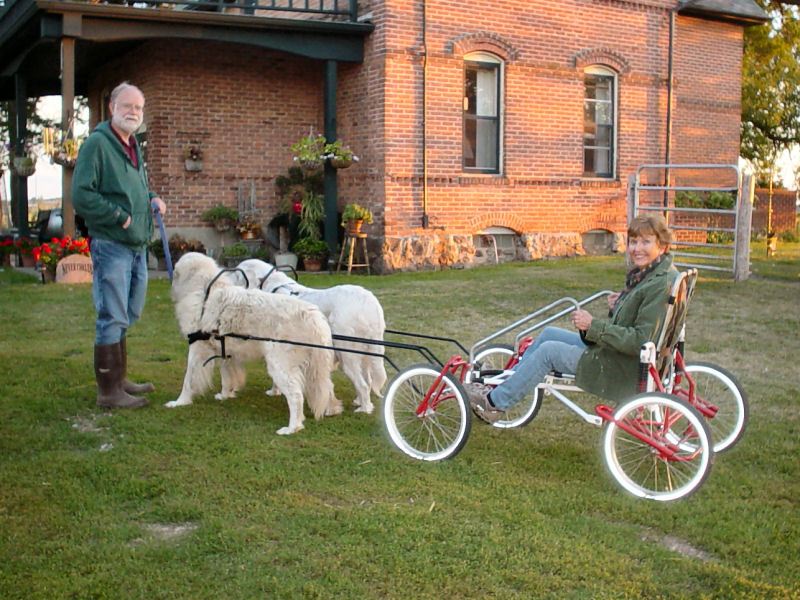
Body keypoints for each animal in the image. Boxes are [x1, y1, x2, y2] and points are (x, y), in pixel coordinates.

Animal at [167, 251, 342, 434]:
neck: (205, 290)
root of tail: (313, 315)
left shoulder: (196, 349)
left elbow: (188, 379)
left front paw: (180, 402)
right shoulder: (225, 350)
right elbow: (226, 376)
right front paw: (225, 394)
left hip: (280, 365)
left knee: (296, 396)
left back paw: (292, 427)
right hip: (315, 366)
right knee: (327, 386)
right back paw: (332, 409)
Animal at [231, 260, 388, 414]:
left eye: (236, 272)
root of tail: (371, 303)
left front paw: (274, 391)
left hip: (347, 355)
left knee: (363, 384)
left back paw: (364, 409)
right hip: (367, 353)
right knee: (367, 380)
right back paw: (359, 401)